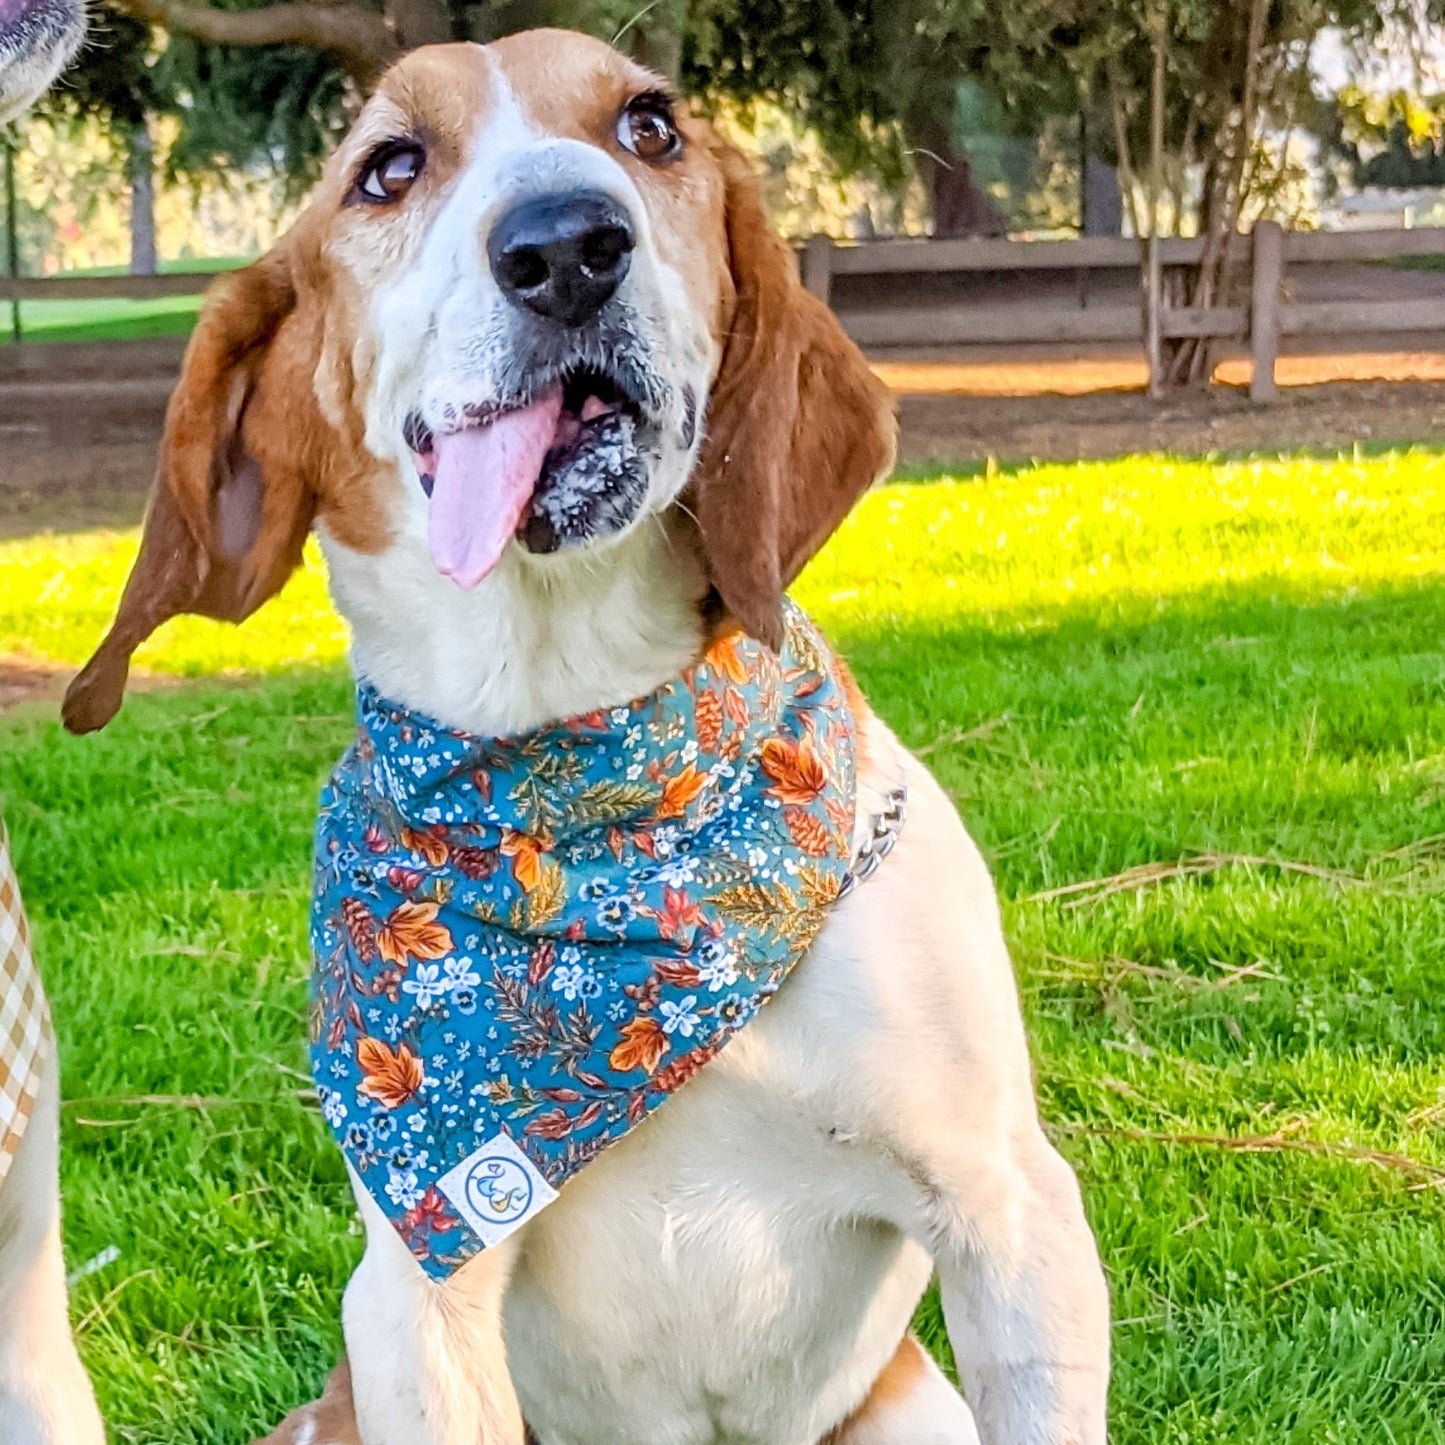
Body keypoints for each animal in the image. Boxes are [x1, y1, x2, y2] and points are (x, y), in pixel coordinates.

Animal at [65, 31, 1103, 1445]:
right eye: (388, 167)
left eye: (649, 126)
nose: (567, 243)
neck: (582, 801)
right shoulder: (421, 1291)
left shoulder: (1011, 1213)